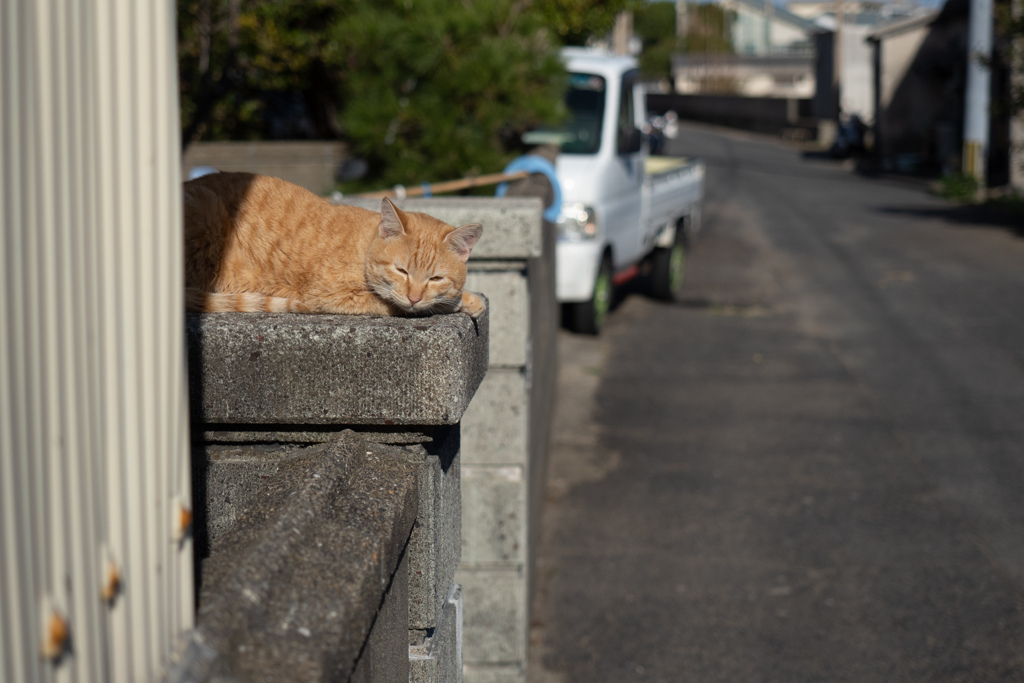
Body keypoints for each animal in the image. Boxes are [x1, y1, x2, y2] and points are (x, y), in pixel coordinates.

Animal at [184, 174, 487, 317]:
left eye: (435, 278)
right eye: (401, 271)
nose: (414, 297)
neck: (364, 246)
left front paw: (469, 298)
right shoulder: (333, 296)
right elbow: (395, 304)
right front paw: (457, 303)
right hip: (207, 211)